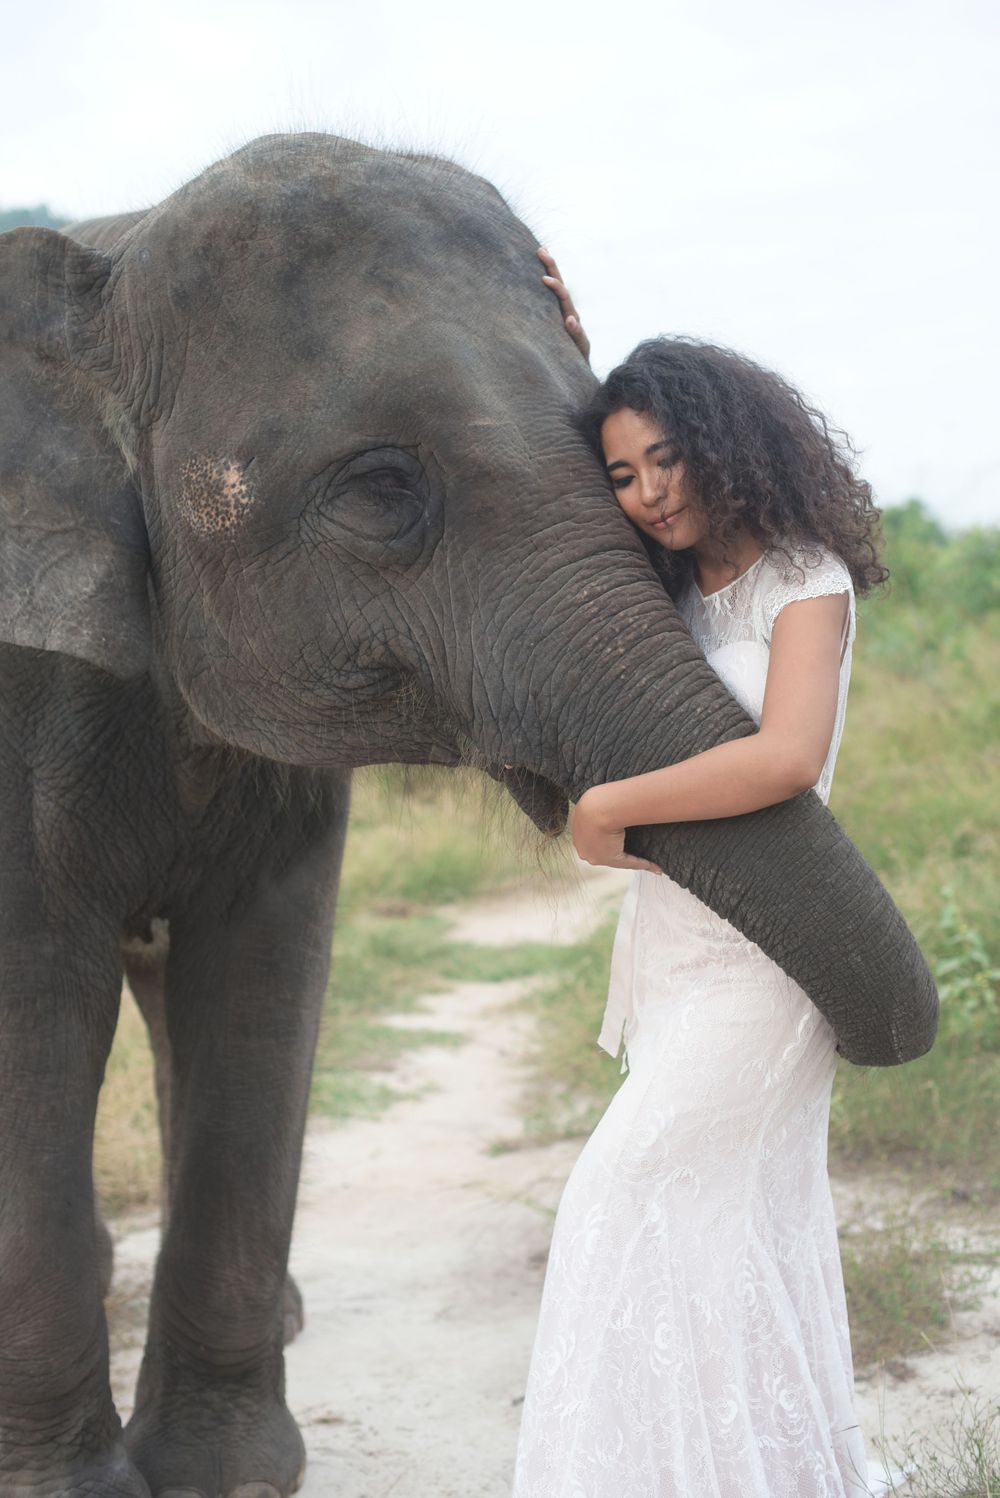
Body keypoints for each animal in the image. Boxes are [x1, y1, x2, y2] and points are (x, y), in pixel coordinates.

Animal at [0, 131, 937, 1497]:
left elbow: (259, 981)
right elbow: (35, 999)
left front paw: (227, 1477)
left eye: (611, 458)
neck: (103, 269)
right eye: (381, 488)